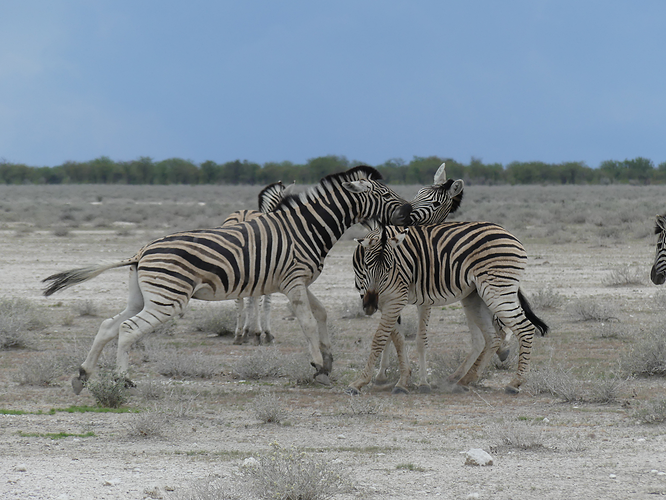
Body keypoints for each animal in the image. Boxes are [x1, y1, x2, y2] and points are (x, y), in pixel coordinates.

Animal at [220, 181, 294, 348]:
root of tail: (243, 215)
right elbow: (265, 303)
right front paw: (266, 334)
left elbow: (248, 301)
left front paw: (246, 332)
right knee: (257, 301)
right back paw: (258, 334)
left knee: (238, 301)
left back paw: (238, 335)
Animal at [344, 222, 548, 394]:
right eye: (368, 265)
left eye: (389, 267)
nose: (370, 305)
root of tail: (509, 234)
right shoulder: (385, 301)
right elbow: (396, 338)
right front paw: (400, 379)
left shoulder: (396, 298)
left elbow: (380, 338)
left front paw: (360, 382)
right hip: (476, 296)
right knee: (492, 338)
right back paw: (464, 380)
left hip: (497, 291)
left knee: (524, 328)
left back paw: (515, 383)